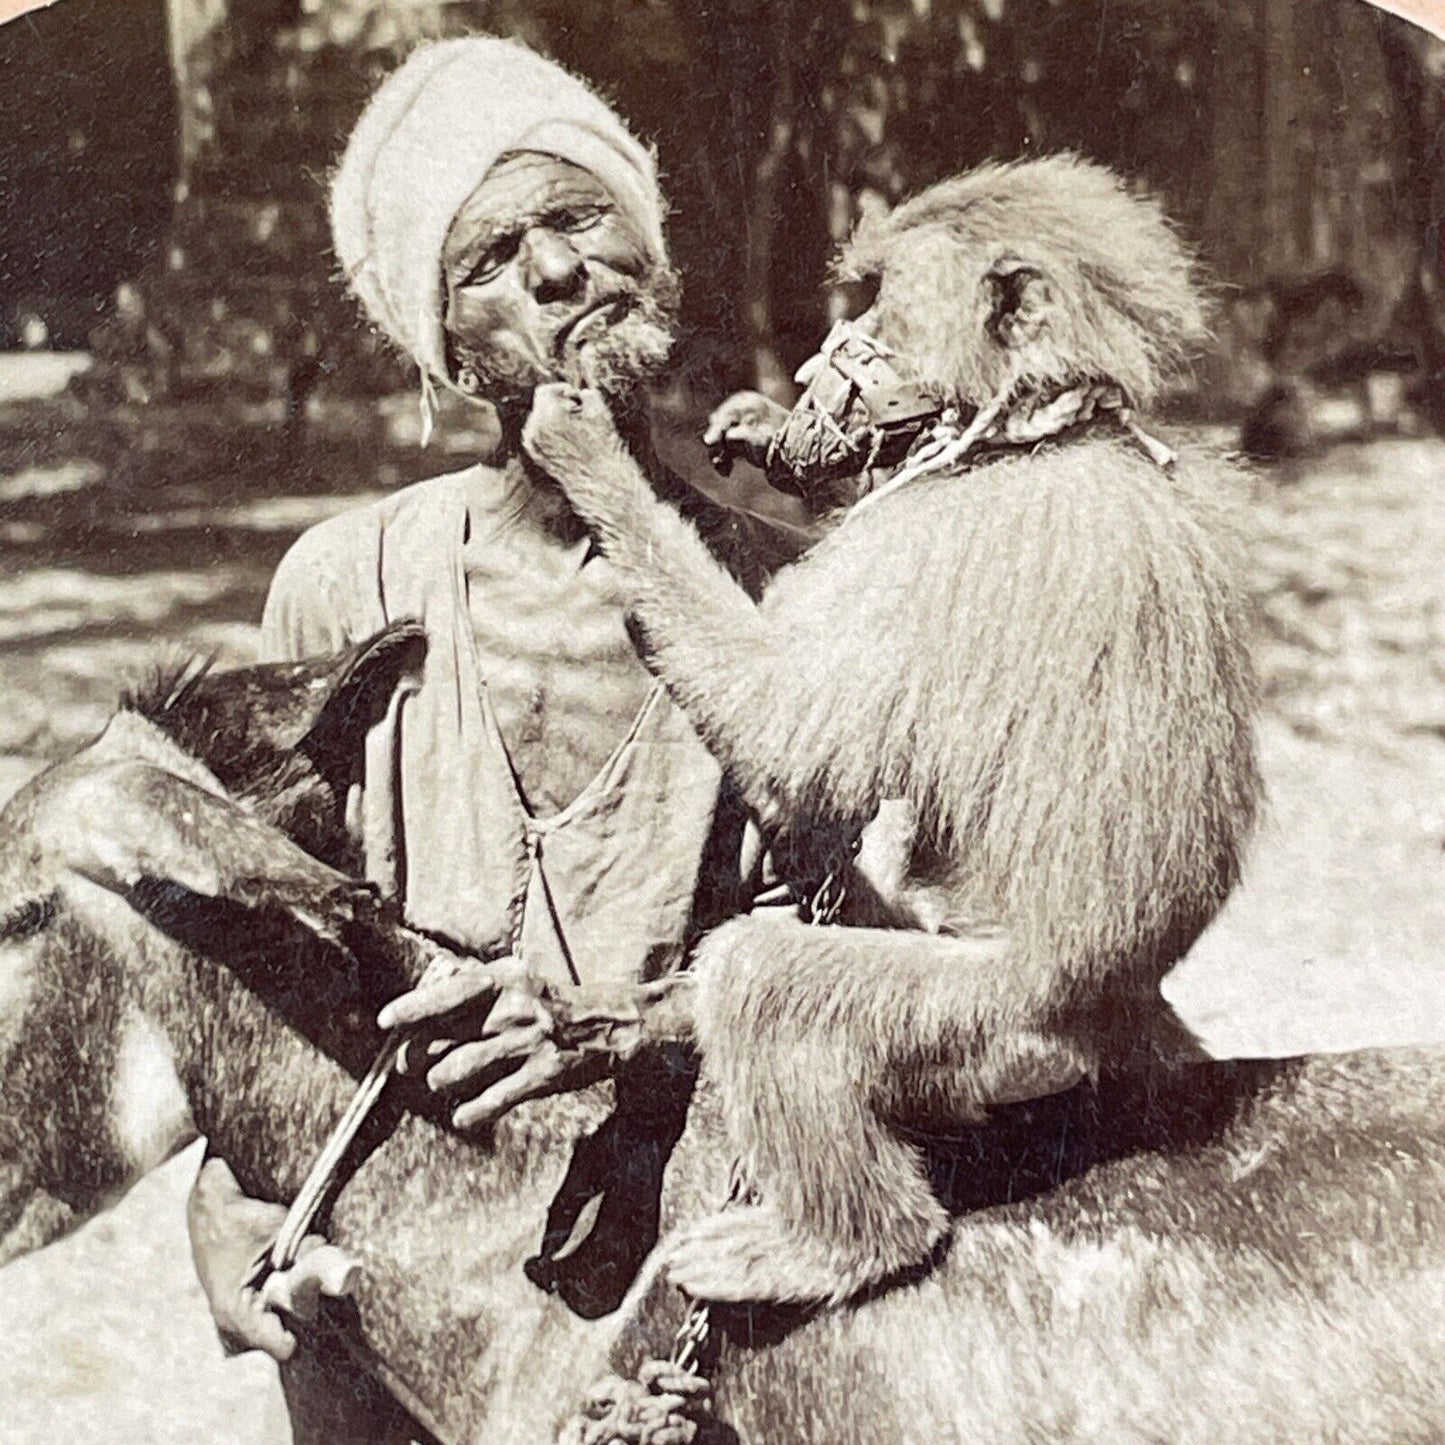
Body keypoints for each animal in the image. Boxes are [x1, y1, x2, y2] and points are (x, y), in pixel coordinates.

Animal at [523, 158, 1265, 1312]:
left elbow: (786, 740)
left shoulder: (937, 536)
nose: (812, 364)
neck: (1042, 427)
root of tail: (1114, 1025)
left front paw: (588, 453)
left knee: (771, 985)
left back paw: (839, 1244)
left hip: (993, 1026)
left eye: (879, 307)